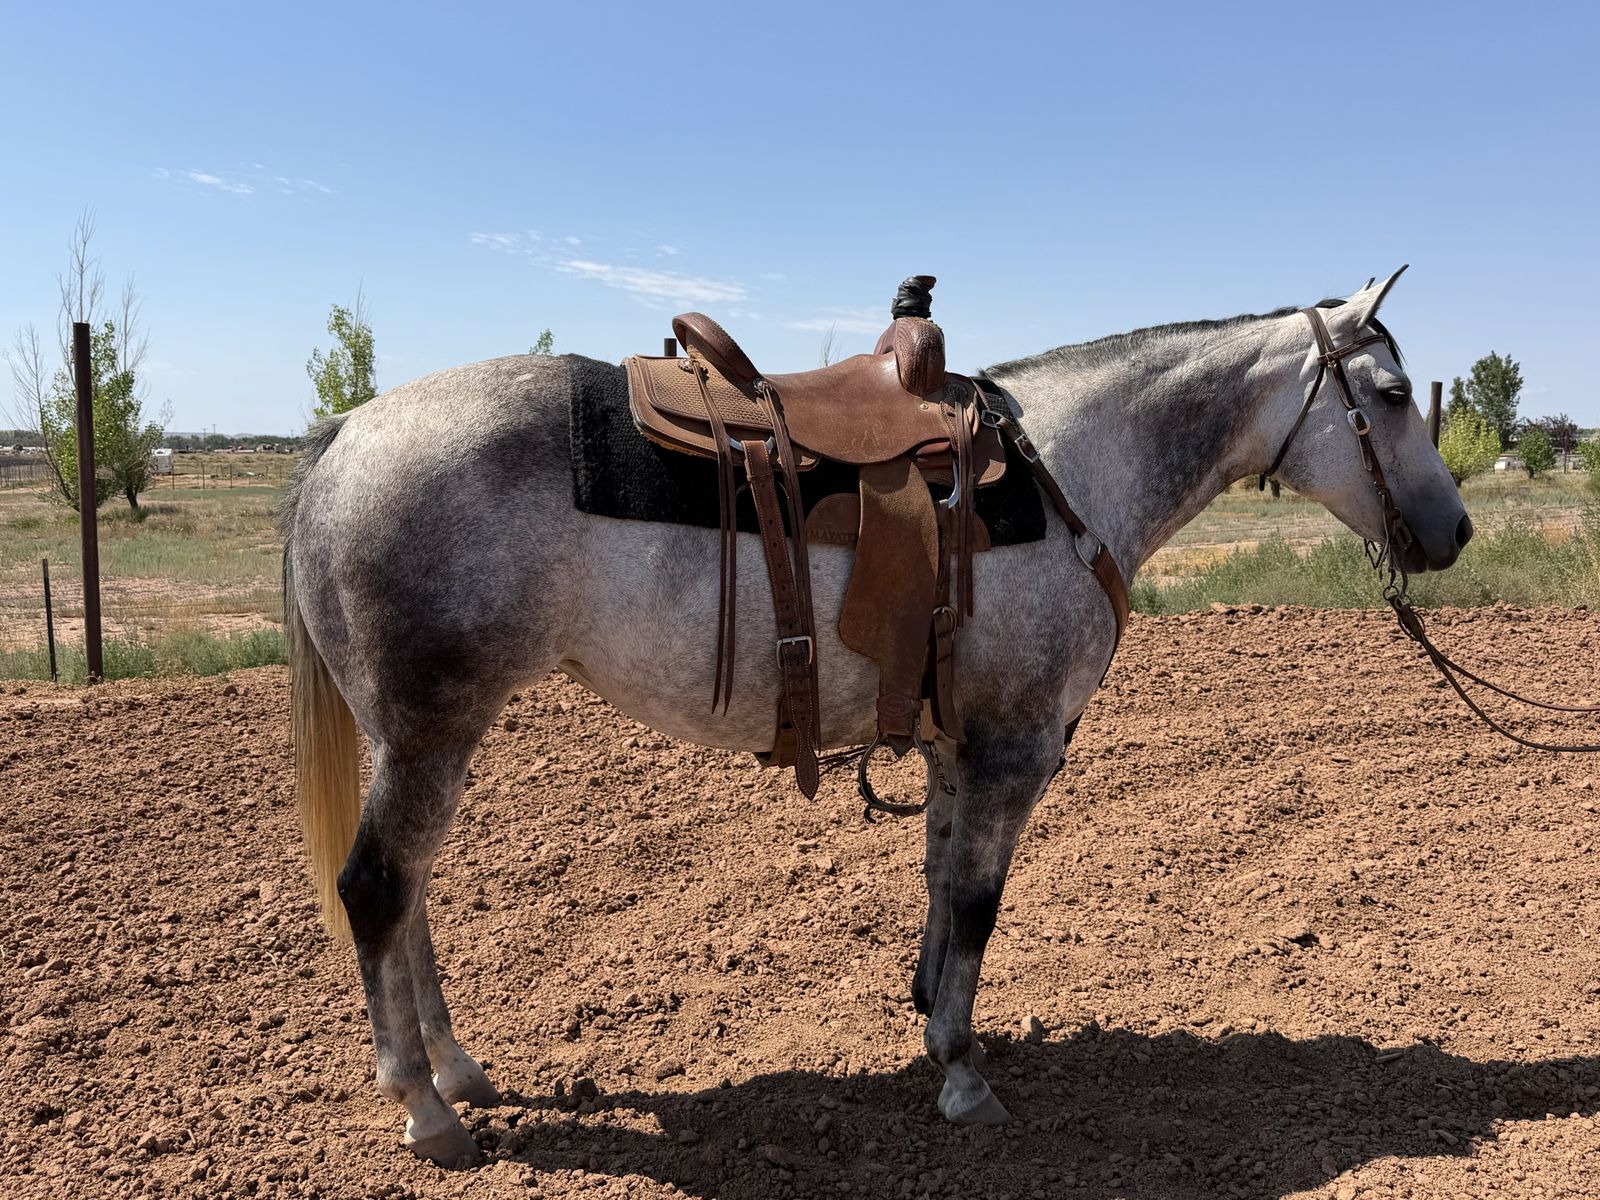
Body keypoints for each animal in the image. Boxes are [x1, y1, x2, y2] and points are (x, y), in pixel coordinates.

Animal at [278, 269, 1470, 1165]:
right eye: (1390, 390)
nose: (1452, 531)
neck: (1071, 474)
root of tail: (343, 434)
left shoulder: (953, 750)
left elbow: (942, 885)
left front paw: (931, 1012)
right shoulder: (1011, 751)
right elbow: (980, 903)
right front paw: (962, 1076)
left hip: (417, 739)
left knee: (409, 896)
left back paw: (460, 1071)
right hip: (430, 733)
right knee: (375, 889)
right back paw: (425, 1110)